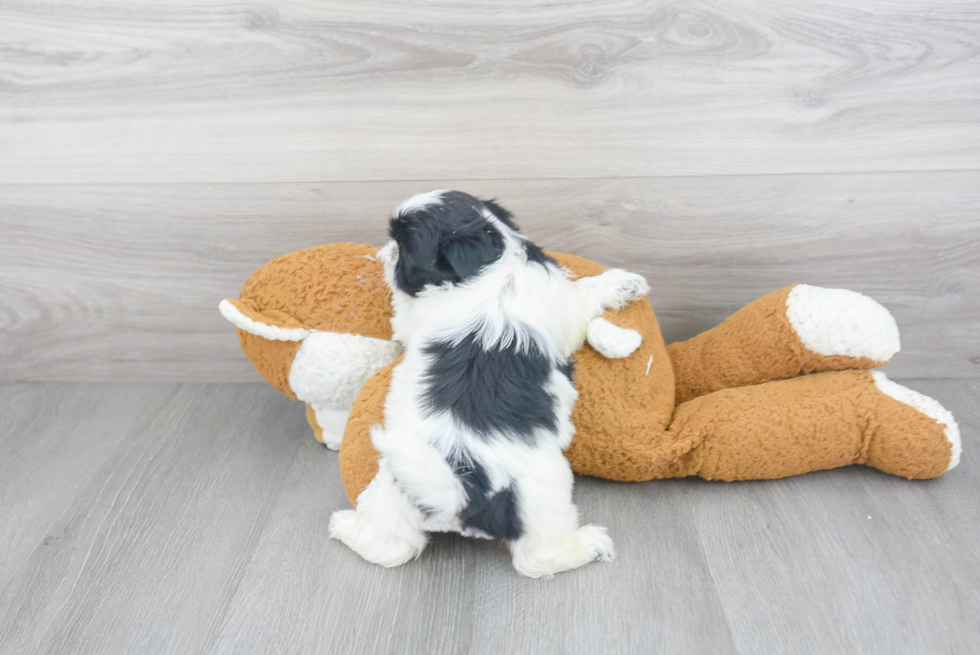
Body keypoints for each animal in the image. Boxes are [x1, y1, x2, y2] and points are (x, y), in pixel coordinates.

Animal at [330, 191, 652, 580]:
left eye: (403, 249)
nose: (383, 255)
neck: (493, 267)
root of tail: (462, 491)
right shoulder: (563, 303)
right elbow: (584, 293)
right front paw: (622, 282)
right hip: (542, 496)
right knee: (536, 557)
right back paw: (590, 545)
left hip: (392, 492)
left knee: (391, 547)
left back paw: (345, 527)